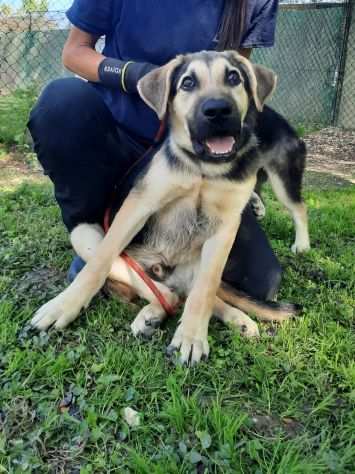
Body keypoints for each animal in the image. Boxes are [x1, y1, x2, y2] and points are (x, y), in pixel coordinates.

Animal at [30, 51, 310, 362]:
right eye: (187, 83)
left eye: (233, 77)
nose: (218, 110)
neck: (204, 169)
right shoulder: (138, 206)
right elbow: (98, 266)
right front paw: (63, 306)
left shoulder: (225, 227)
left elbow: (205, 290)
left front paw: (191, 336)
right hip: (88, 238)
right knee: (161, 290)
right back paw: (151, 314)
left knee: (190, 292)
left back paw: (241, 315)